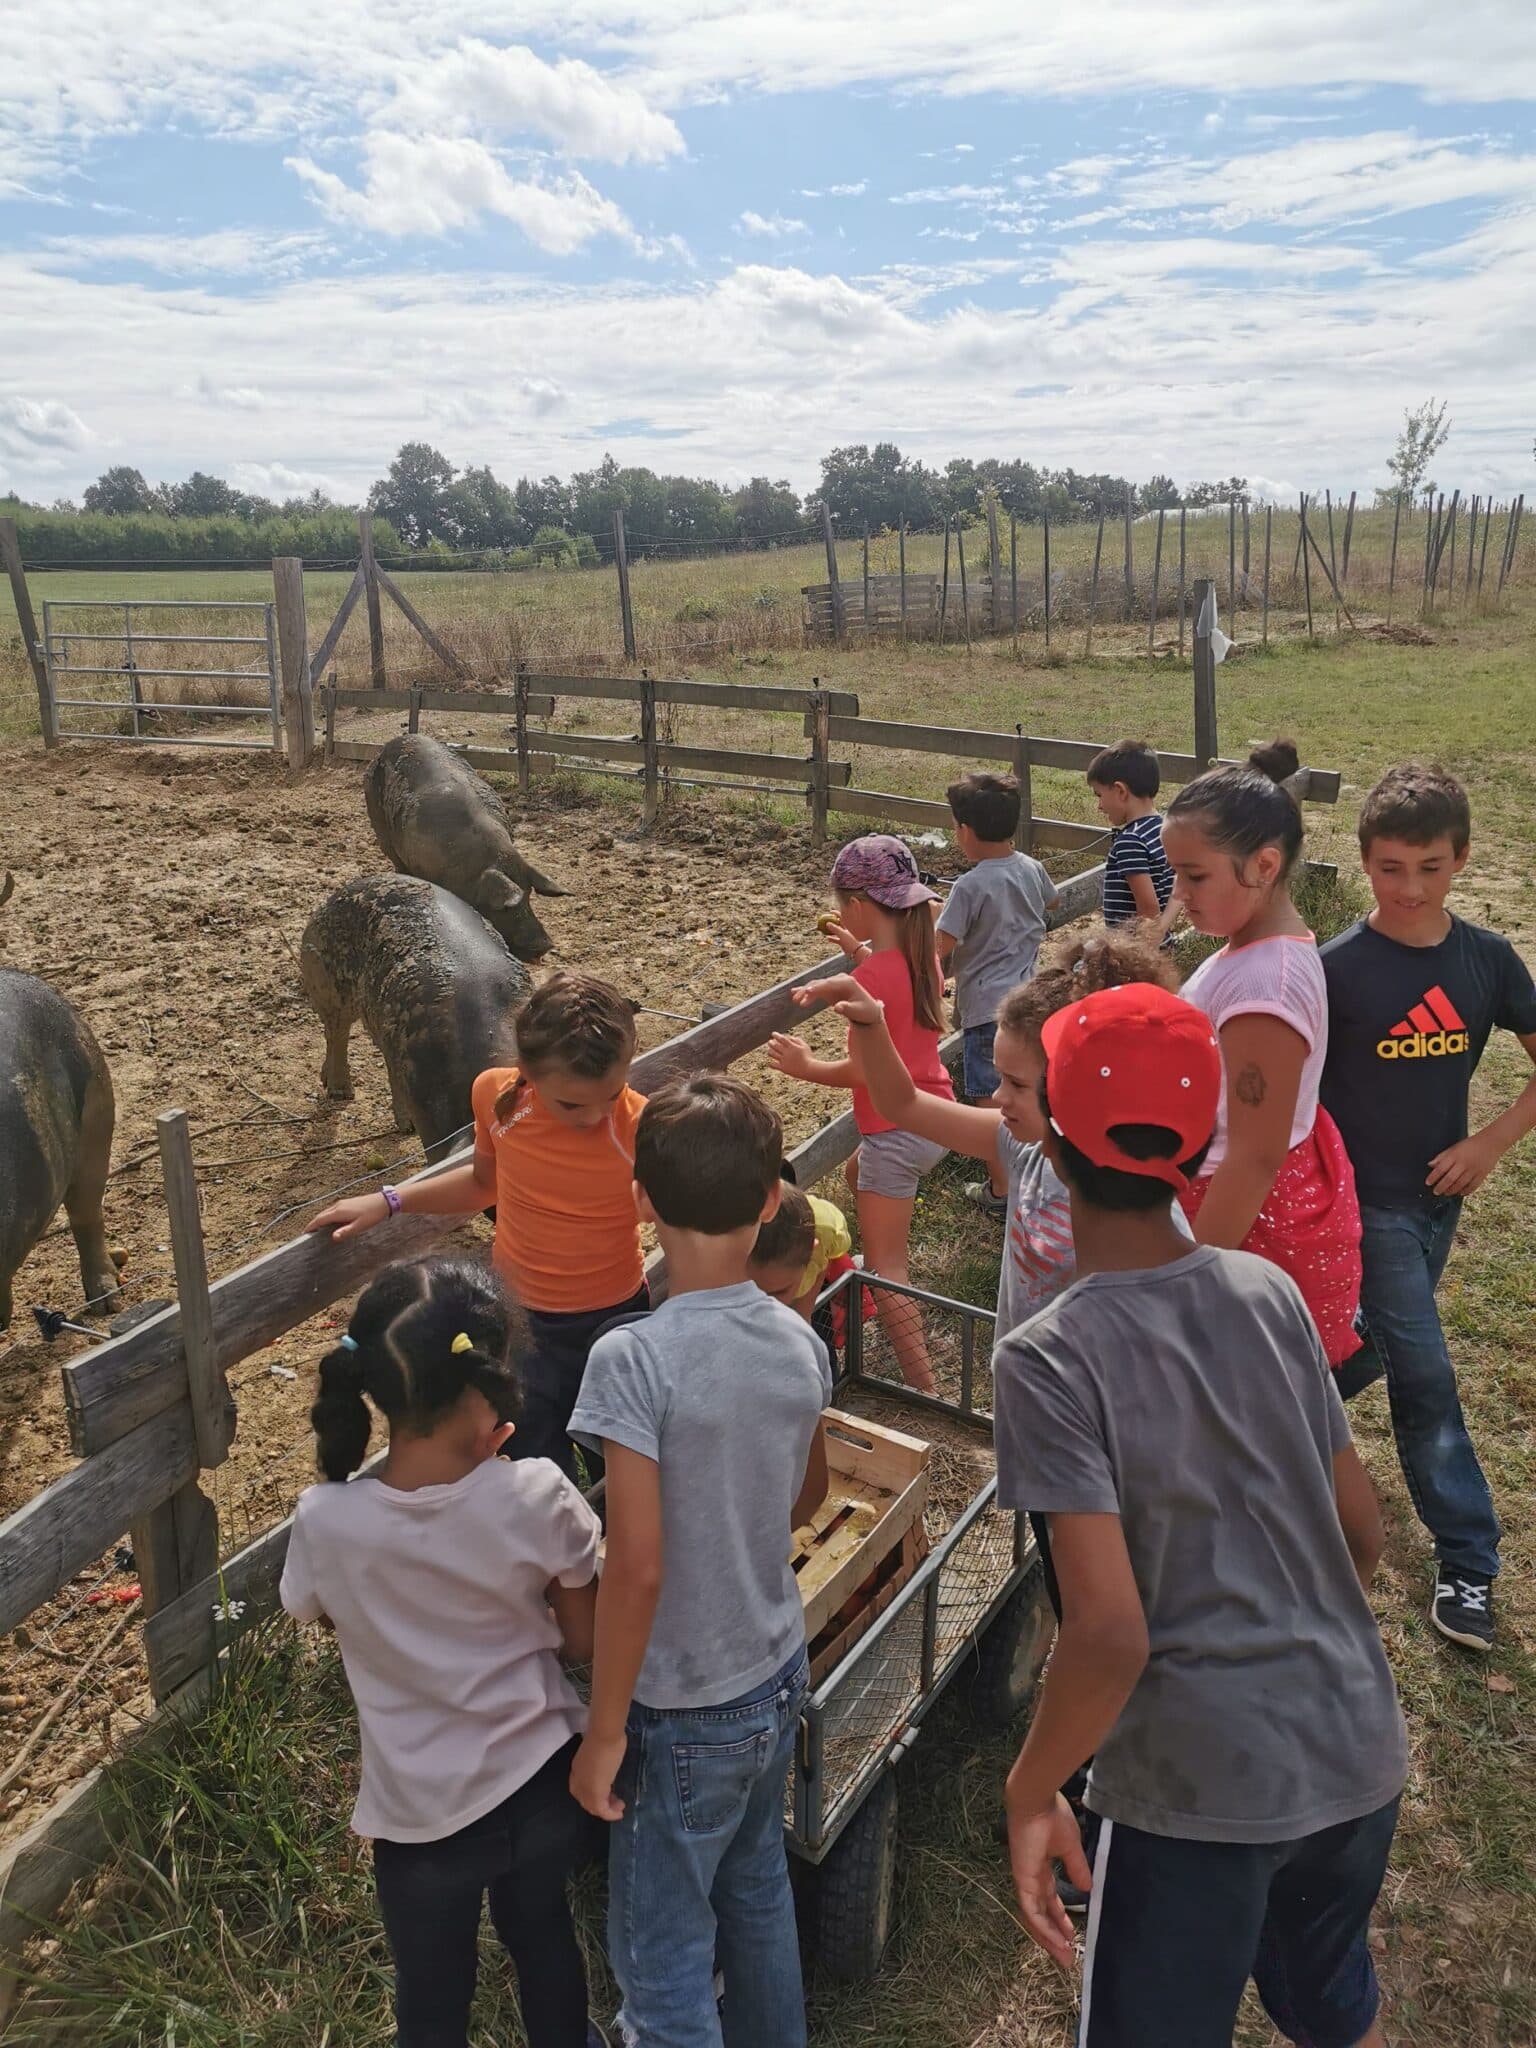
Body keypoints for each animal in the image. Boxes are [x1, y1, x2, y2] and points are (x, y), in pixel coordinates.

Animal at [301, 876, 536, 1163]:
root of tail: (335, 896)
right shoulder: (427, 1106)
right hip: (327, 981)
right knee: (336, 1030)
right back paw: (340, 1091)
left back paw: (404, 1126)